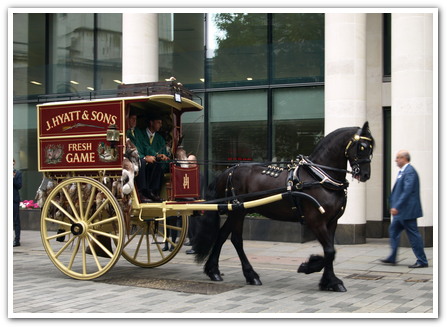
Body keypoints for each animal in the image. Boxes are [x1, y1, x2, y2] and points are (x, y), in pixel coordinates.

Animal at [195, 122, 374, 292]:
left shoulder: (332, 222)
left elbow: (330, 251)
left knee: (222, 234)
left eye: (371, 147)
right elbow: (330, 251)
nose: (365, 175)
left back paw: (214, 271)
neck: (319, 177)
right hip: (238, 212)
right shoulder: (316, 222)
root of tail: (229, 170)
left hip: (238, 211)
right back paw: (250, 274)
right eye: (361, 147)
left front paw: (330, 281)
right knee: (236, 239)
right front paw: (309, 266)